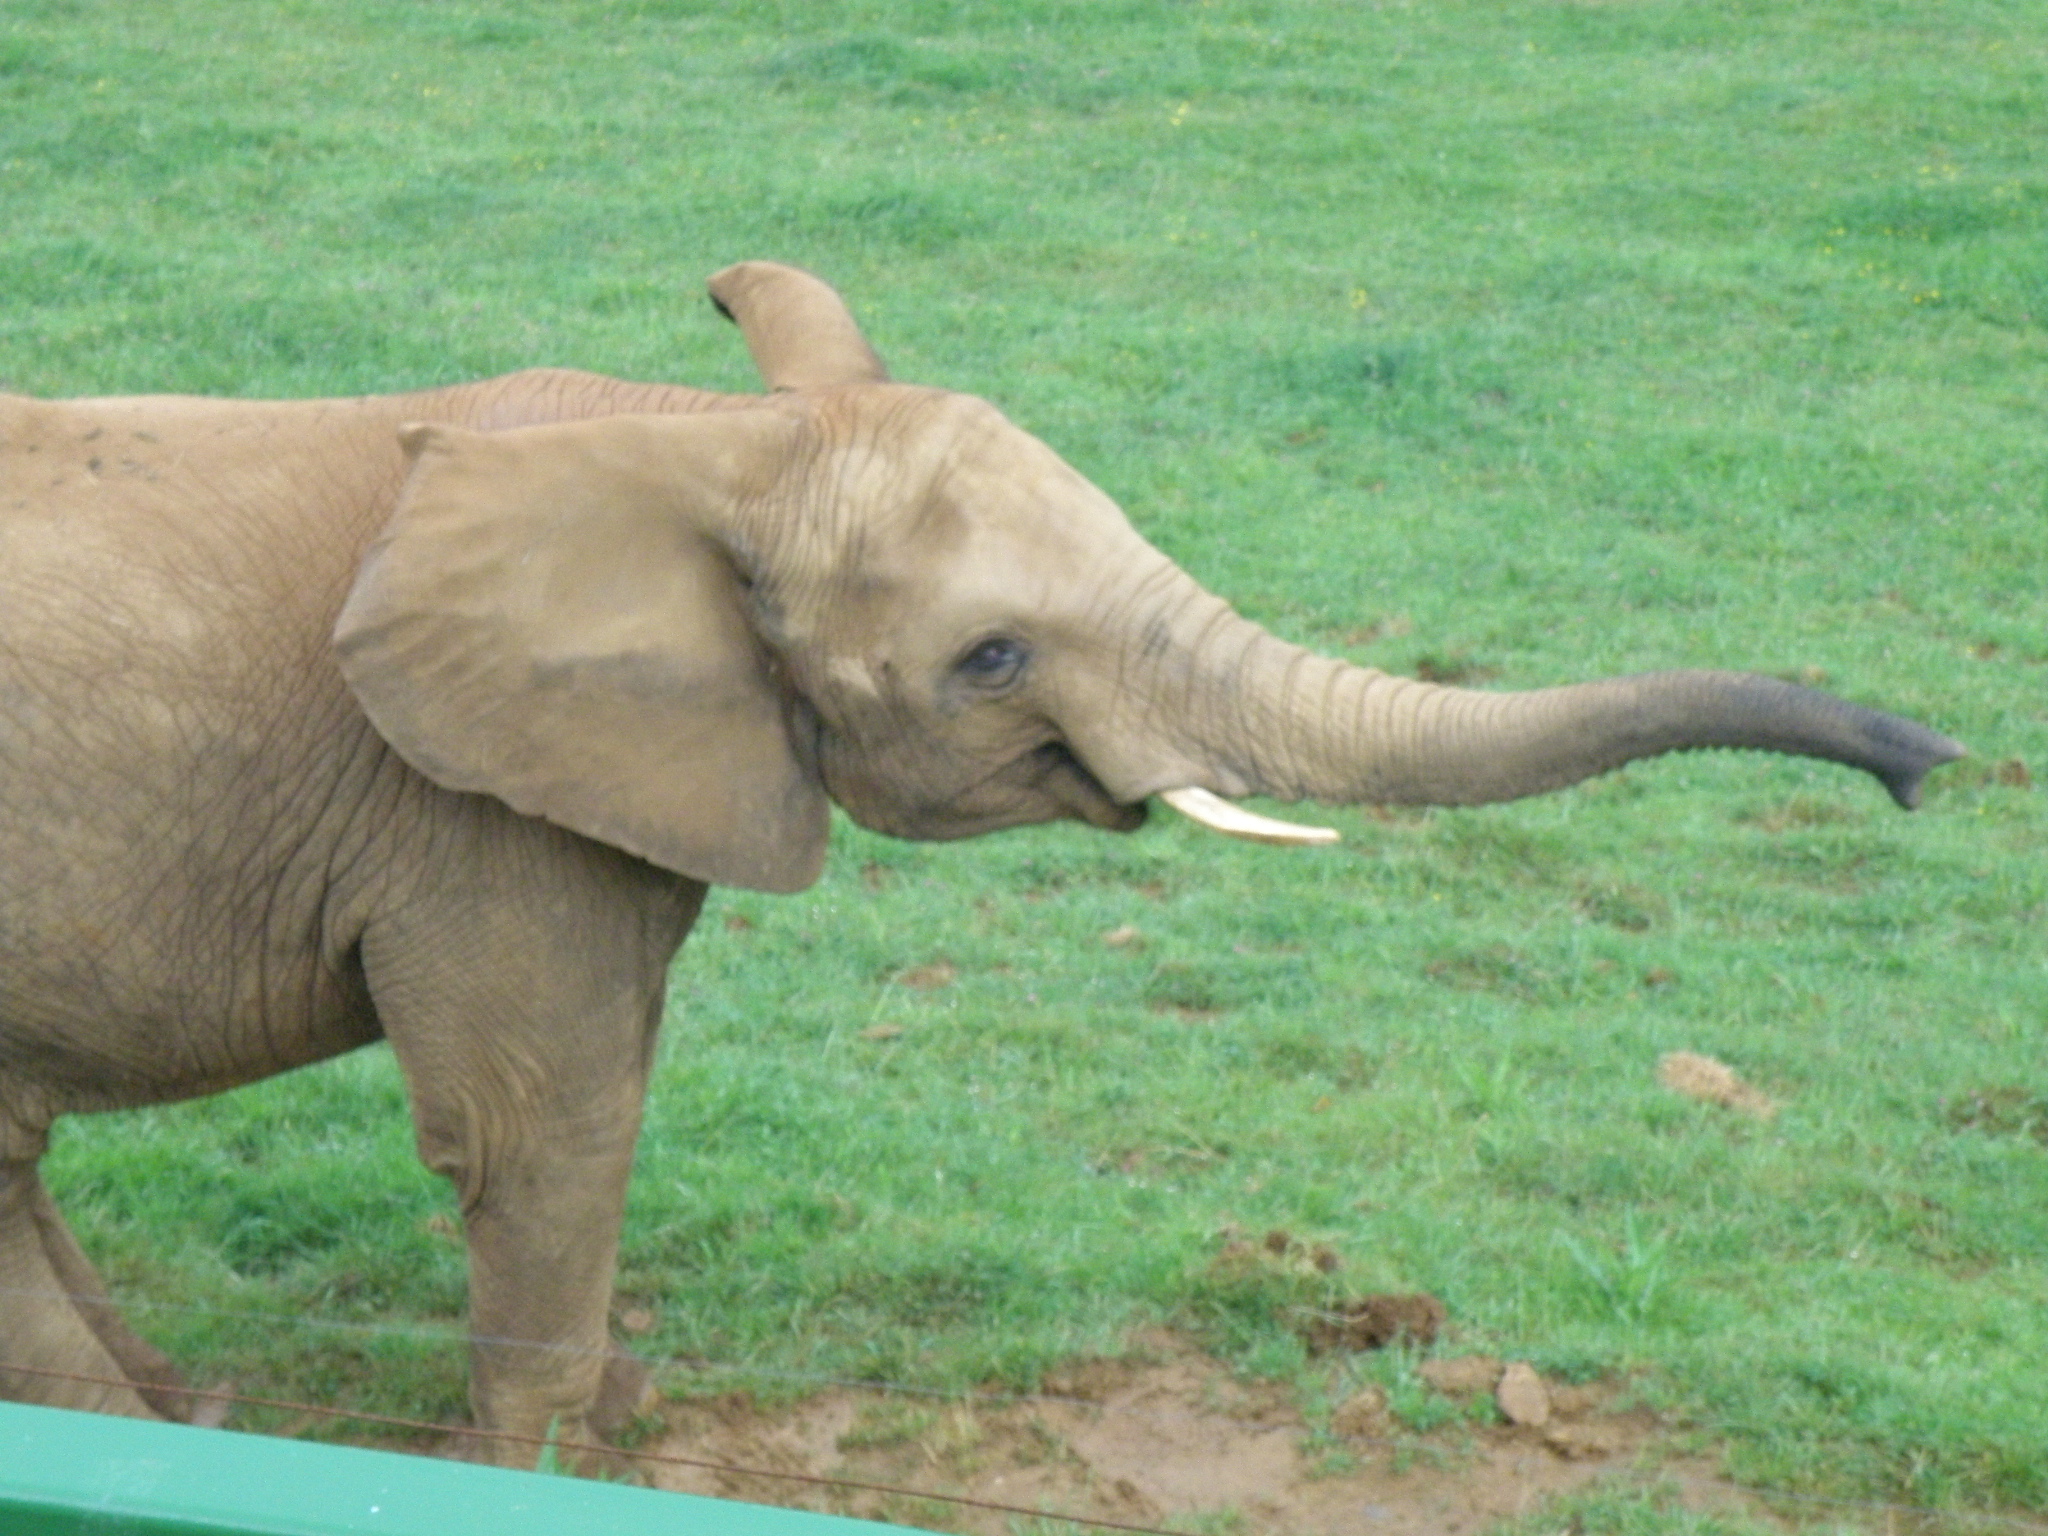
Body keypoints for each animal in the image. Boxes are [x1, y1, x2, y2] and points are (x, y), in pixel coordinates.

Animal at [0, 261, 1963, 1462]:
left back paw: (184, 1415)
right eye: (996, 657)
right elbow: (535, 1125)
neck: (697, 433)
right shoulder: (463, 798)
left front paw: (617, 1416)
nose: (1927, 767)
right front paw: (540, 1466)